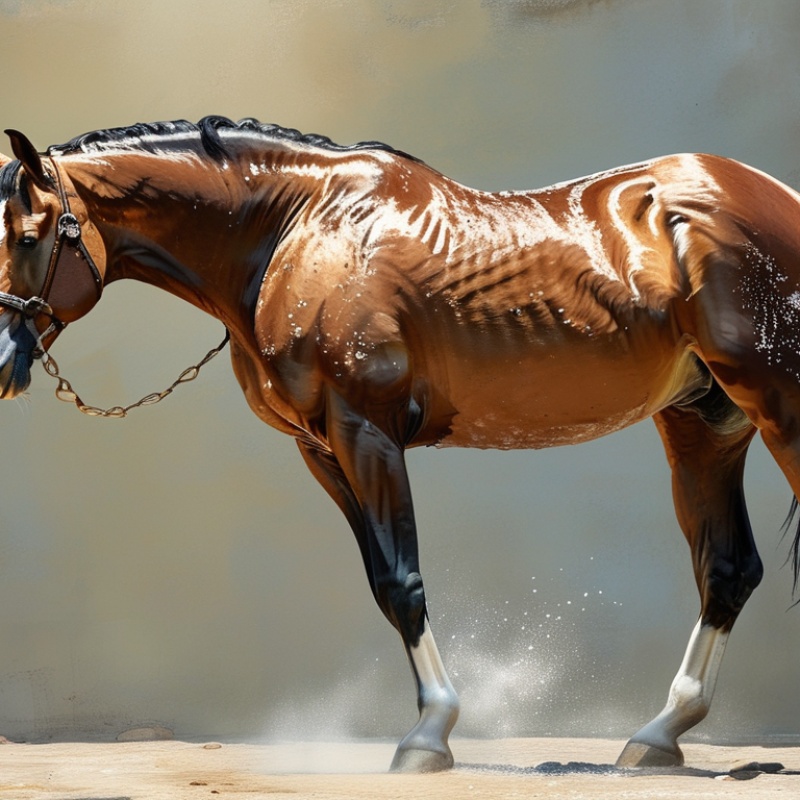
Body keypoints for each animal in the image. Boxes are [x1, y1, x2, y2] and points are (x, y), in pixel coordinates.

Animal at [0, 116, 798, 772]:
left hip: (779, 409)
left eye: (28, 237)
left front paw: (428, 736)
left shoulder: (368, 432)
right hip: (703, 426)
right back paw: (658, 736)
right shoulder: (322, 451)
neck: (297, 231)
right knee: (728, 571)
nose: (2, 362)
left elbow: (402, 581)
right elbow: (383, 586)